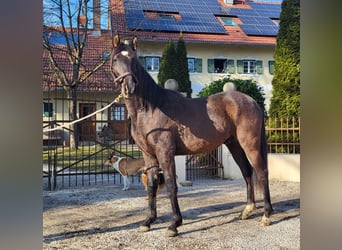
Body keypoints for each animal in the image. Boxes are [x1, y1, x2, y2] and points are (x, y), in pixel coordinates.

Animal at [109, 34, 272, 236]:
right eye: (115, 59)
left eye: (134, 59)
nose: (129, 87)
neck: (150, 108)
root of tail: (253, 102)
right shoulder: (149, 155)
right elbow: (152, 187)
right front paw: (148, 221)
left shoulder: (165, 153)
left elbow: (171, 184)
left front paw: (174, 224)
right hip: (234, 144)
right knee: (247, 172)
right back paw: (247, 210)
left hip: (250, 144)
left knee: (262, 172)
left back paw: (266, 216)